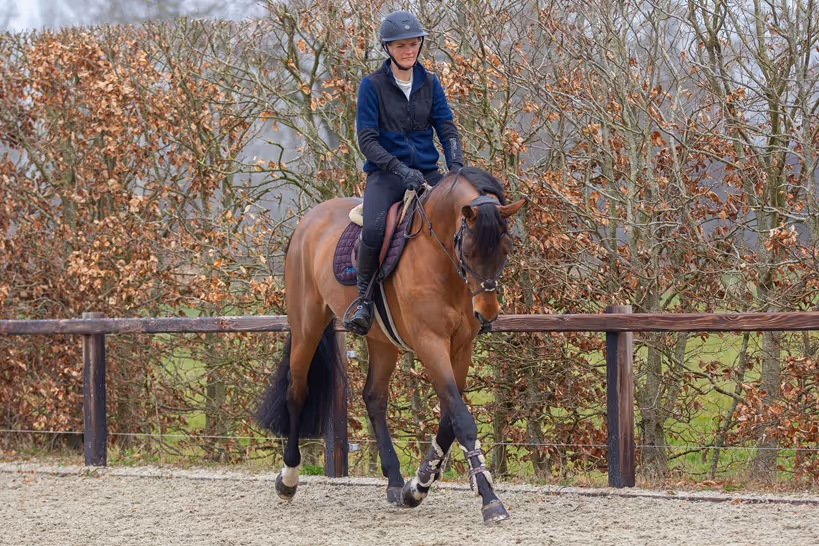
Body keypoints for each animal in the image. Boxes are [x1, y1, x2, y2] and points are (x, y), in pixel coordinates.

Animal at [256, 166, 525, 523]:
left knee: (374, 398)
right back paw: (288, 478)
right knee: (297, 391)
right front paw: (490, 500)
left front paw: (418, 484)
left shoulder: (461, 346)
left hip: (381, 340)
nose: (487, 312)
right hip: (306, 326)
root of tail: (308, 221)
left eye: (506, 249)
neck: (440, 259)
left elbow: (449, 419)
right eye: (468, 250)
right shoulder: (429, 342)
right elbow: (462, 419)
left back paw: (396, 482)